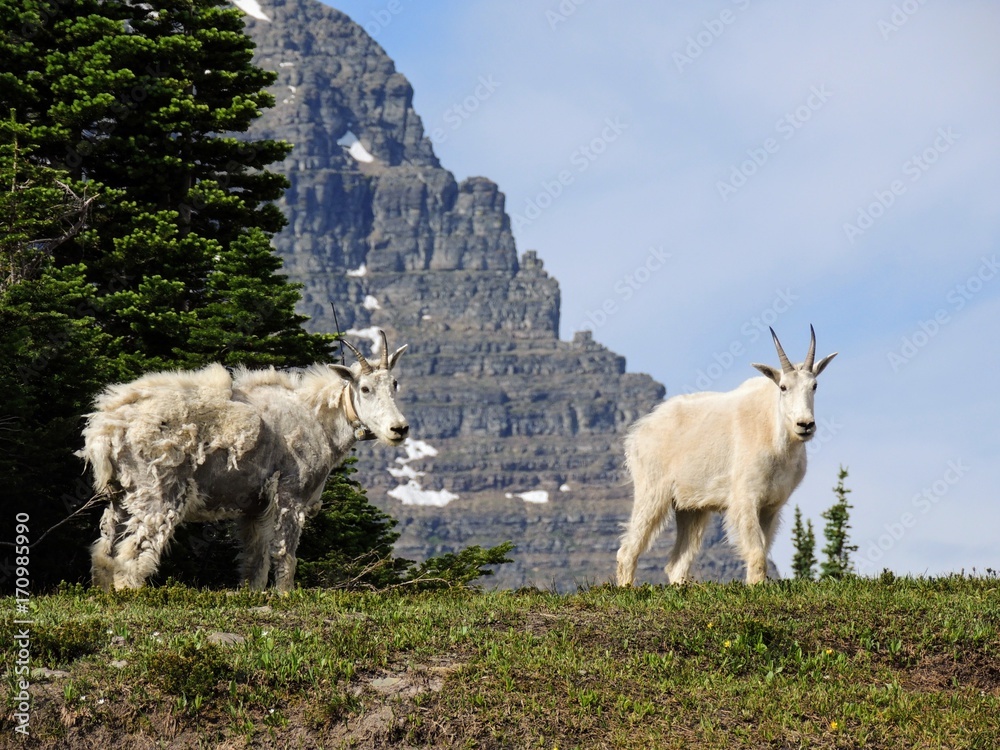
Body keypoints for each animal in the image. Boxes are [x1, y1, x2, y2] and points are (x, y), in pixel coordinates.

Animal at [79, 331, 408, 592]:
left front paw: (252, 593)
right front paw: (285, 595)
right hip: (157, 492)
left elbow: (255, 559)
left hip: (120, 495)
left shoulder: (254, 507)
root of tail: (105, 429)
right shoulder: (291, 493)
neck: (318, 418)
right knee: (132, 553)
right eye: (364, 388)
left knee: (104, 550)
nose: (399, 429)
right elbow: (284, 553)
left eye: (395, 384)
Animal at [616, 326, 836, 586]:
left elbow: (763, 550)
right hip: (651, 492)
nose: (805, 425)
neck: (775, 435)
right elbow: (756, 554)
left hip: (691, 508)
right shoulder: (745, 499)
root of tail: (637, 434)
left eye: (814, 385)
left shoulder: (771, 506)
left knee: (677, 564)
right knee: (628, 551)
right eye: (783, 387)